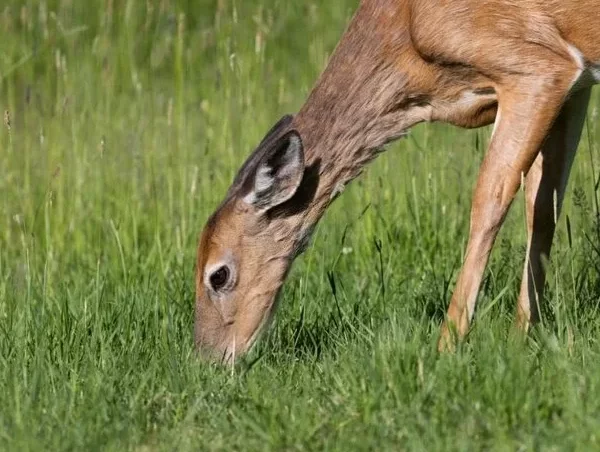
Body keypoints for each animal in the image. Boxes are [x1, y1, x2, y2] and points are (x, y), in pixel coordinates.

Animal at [195, 0, 596, 362]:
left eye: (218, 275)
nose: (209, 360)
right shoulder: (575, 88)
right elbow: (543, 209)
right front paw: (523, 337)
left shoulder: (539, 69)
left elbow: (489, 200)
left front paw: (446, 348)